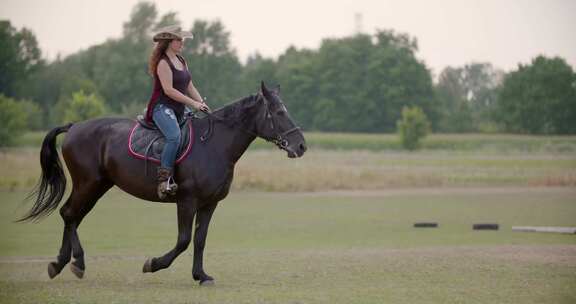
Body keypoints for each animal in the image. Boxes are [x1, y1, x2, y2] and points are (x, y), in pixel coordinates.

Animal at [19, 82, 306, 284]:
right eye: (278, 112)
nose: (301, 145)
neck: (213, 145)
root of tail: (75, 127)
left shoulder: (209, 204)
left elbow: (200, 240)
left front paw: (201, 276)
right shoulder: (187, 201)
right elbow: (183, 240)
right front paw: (153, 264)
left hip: (97, 186)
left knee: (73, 217)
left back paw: (61, 263)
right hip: (87, 184)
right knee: (69, 214)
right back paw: (75, 262)